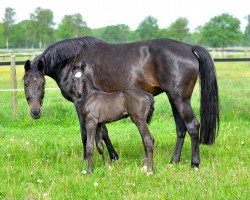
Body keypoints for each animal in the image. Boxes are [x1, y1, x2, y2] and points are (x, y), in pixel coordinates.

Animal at [23, 36, 219, 167]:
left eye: (41, 83)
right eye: (25, 83)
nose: (35, 112)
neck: (73, 62)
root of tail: (189, 48)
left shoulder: (80, 105)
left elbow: (86, 135)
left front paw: (87, 162)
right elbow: (104, 132)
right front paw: (113, 157)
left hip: (180, 99)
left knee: (192, 126)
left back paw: (194, 164)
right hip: (174, 99)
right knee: (180, 128)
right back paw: (173, 161)